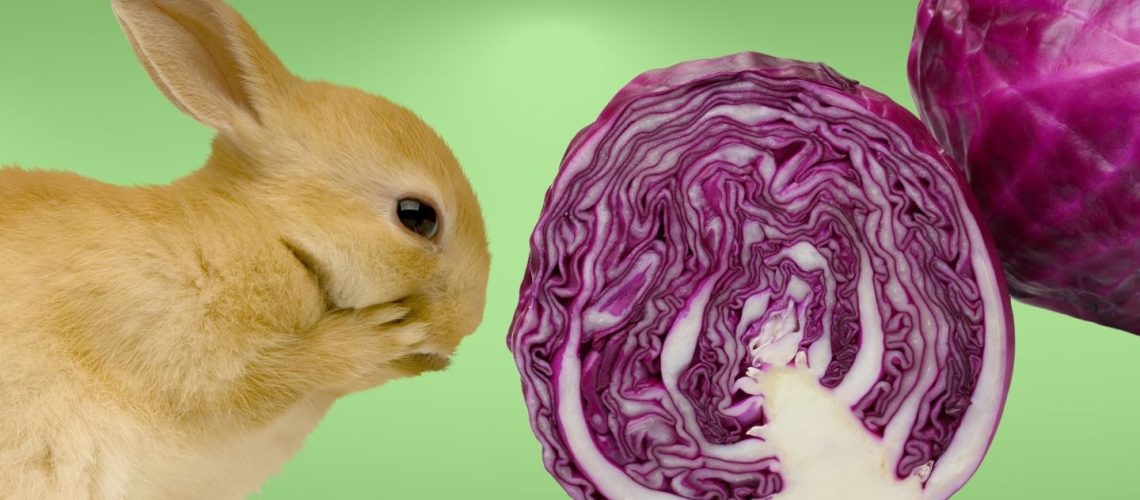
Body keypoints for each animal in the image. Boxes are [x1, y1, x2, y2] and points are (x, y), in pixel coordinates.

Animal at [0, 0, 490, 498]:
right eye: (417, 216)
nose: (463, 326)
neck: (277, 237)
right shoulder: (171, 340)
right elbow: (274, 376)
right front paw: (381, 335)